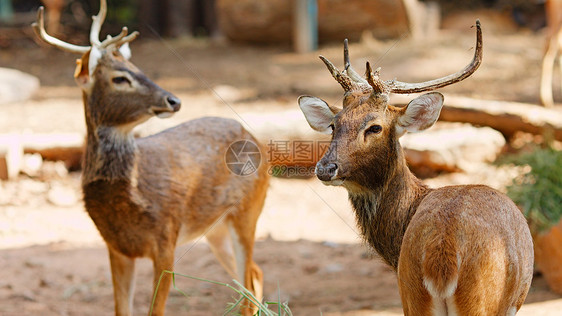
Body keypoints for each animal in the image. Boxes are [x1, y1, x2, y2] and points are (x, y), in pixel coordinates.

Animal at [31, 1, 268, 314]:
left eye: (138, 68)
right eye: (120, 78)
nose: (173, 100)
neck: (132, 197)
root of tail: (255, 139)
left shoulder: (166, 237)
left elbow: (156, 308)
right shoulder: (115, 246)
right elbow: (122, 308)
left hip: (247, 210)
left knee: (250, 279)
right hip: (214, 228)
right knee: (254, 275)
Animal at [296, 21, 532, 314]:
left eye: (375, 127)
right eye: (333, 124)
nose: (326, 168)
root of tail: (442, 254)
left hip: (412, 292)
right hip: (480, 299)